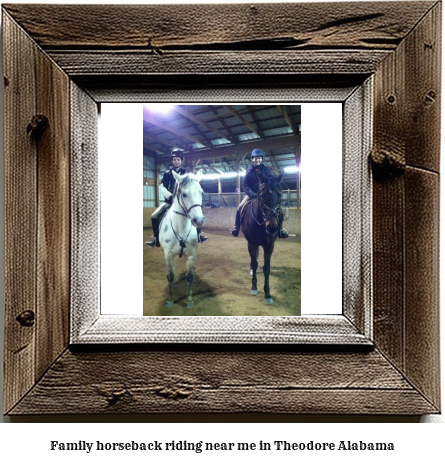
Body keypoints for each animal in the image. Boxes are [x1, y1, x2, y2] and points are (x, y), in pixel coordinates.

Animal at [159, 169, 206, 306]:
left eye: (201, 192)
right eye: (184, 194)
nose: (199, 220)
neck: (181, 228)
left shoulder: (191, 254)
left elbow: (189, 277)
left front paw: (189, 299)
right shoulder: (168, 254)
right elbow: (170, 275)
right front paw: (170, 299)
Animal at [241, 172, 282, 302]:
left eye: (280, 196)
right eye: (262, 197)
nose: (272, 227)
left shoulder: (269, 245)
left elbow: (266, 268)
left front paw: (267, 293)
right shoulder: (252, 243)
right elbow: (254, 264)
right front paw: (254, 287)